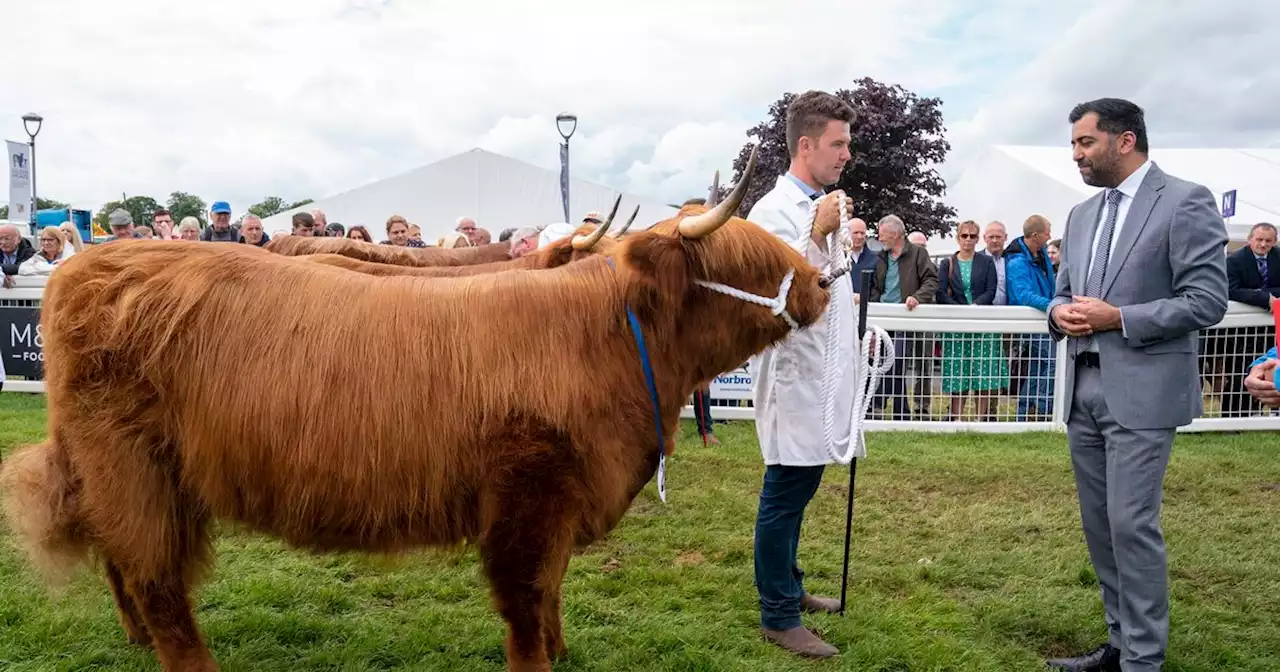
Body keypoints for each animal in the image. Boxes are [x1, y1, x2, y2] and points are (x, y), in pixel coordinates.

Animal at [2, 146, 829, 670]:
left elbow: (553, 590)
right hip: (131, 467)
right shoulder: (528, 497)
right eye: (749, 259)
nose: (824, 283)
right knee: (157, 579)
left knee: (125, 561)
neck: (607, 339)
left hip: (133, 474)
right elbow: (527, 601)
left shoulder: (559, 502)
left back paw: (136, 640)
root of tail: (92, 265)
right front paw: (542, 658)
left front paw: (564, 648)